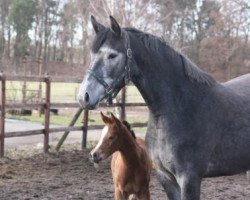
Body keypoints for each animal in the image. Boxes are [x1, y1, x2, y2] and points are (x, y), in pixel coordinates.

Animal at [78, 16, 250, 199]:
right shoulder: (166, 177)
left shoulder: (190, 179)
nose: (83, 96)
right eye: (92, 54)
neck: (181, 106)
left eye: (112, 55)